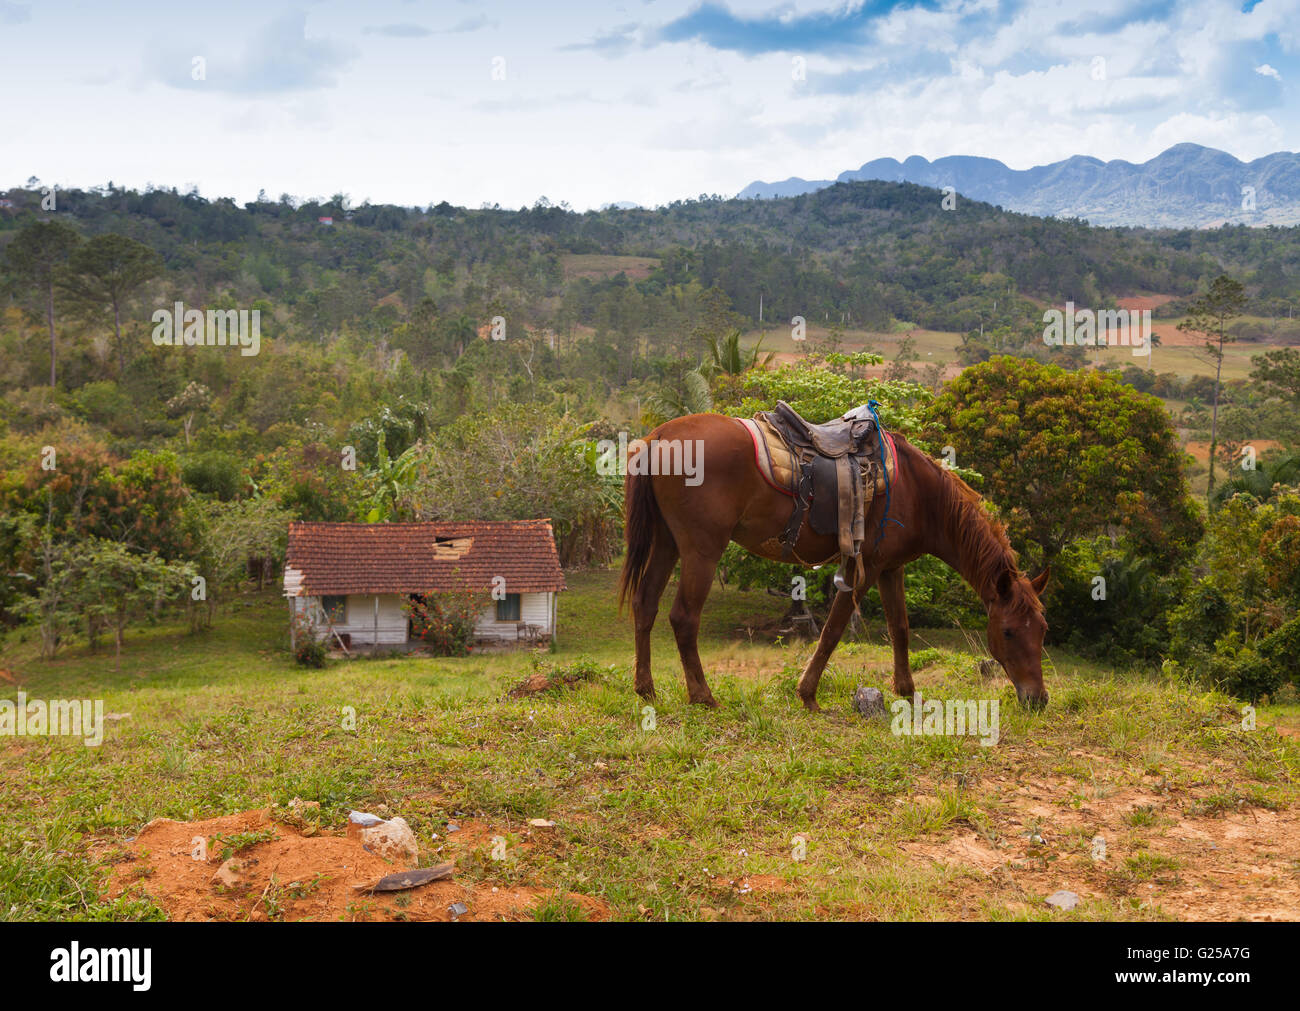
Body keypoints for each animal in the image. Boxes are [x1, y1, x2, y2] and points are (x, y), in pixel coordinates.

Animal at [613, 410, 1050, 706]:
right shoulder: (866, 568)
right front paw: (807, 693)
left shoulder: (891, 568)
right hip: (701, 550)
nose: (1037, 699)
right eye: (1009, 631)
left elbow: (900, 628)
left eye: (1043, 630)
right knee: (683, 617)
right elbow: (833, 630)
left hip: (667, 543)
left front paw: (906, 691)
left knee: (645, 605)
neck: (917, 492)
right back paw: (702, 695)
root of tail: (659, 436)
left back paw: (646, 689)